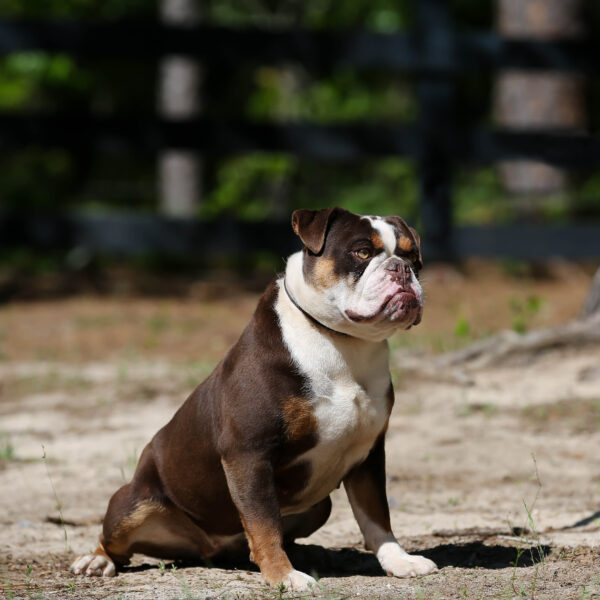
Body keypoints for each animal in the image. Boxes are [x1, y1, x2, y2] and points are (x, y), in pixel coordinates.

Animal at [70, 207, 438, 592]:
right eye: (362, 252)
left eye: (414, 257)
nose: (402, 269)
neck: (343, 342)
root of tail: (210, 549)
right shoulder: (249, 453)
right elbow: (263, 523)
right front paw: (284, 576)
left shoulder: (369, 455)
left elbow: (377, 515)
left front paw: (400, 561)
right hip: (133, 503)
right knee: (116, 540)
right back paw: (96, 560)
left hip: (318, 506)